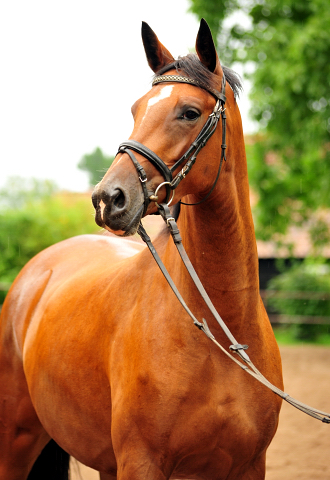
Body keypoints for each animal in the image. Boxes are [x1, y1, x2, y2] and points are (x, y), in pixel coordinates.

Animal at [0, 18, 284, 480]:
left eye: (190, 112)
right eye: (136, 109)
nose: (108, 198)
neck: (219, 331)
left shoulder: (248, 466)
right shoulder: (142, 462)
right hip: (16, 439)